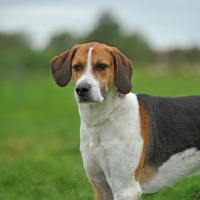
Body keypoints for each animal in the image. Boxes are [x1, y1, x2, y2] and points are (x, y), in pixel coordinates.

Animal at [50, 41, 200, 199]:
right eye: (77, 66)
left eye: (101, 66)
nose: (81, 89)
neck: (102, 120)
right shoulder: (101, 187)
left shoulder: (125, 190)